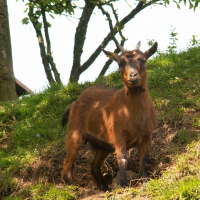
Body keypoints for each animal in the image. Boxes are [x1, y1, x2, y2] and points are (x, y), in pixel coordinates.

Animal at [61, 41, 158, 191]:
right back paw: (70, 186)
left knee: (94, 164)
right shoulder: (119, 135)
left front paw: (145, 183)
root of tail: (75, 103)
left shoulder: (146, 135)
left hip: (102, 145)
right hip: (75, 131)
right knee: (69, 160)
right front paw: (122, 184)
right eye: (120, 63)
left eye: (143, 59)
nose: (133, 75)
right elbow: (123, 159)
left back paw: (105, 187)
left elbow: (145, 161)